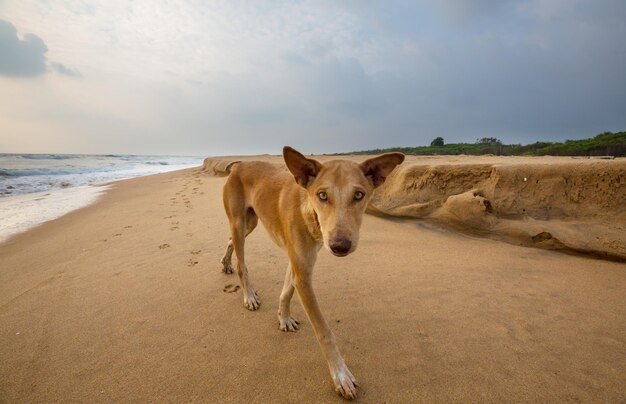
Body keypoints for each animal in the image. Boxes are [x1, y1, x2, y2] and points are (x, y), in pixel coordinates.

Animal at [219, 147, 404, 400]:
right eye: (322, 195)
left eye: (359, 195)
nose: (340, 246)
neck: (308, 211)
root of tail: (238, 165)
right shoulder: (303, 276)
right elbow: (324, 332)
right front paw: (341, 375)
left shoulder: (300, 264)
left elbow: (286, 292)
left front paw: (284, 318)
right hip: (239, 222)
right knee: (241, 262)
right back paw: (248, 295)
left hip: (251, 222)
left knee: (230, 241)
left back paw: (226, 263)